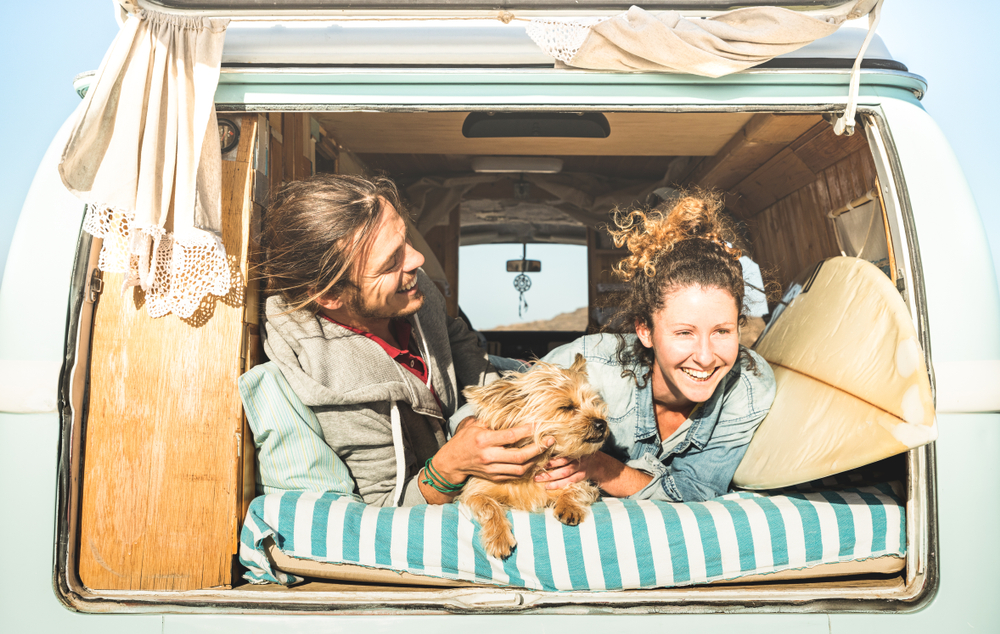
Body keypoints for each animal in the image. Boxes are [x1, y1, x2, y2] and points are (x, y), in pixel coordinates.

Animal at [458, 354, 608, 560]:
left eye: (594, 403)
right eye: (566, 407)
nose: (602, 423)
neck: (536, 466)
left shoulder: (584, 483)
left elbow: (576, 488)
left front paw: (569, 506)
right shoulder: (475, 490)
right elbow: (488, 506)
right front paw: (499, 537)